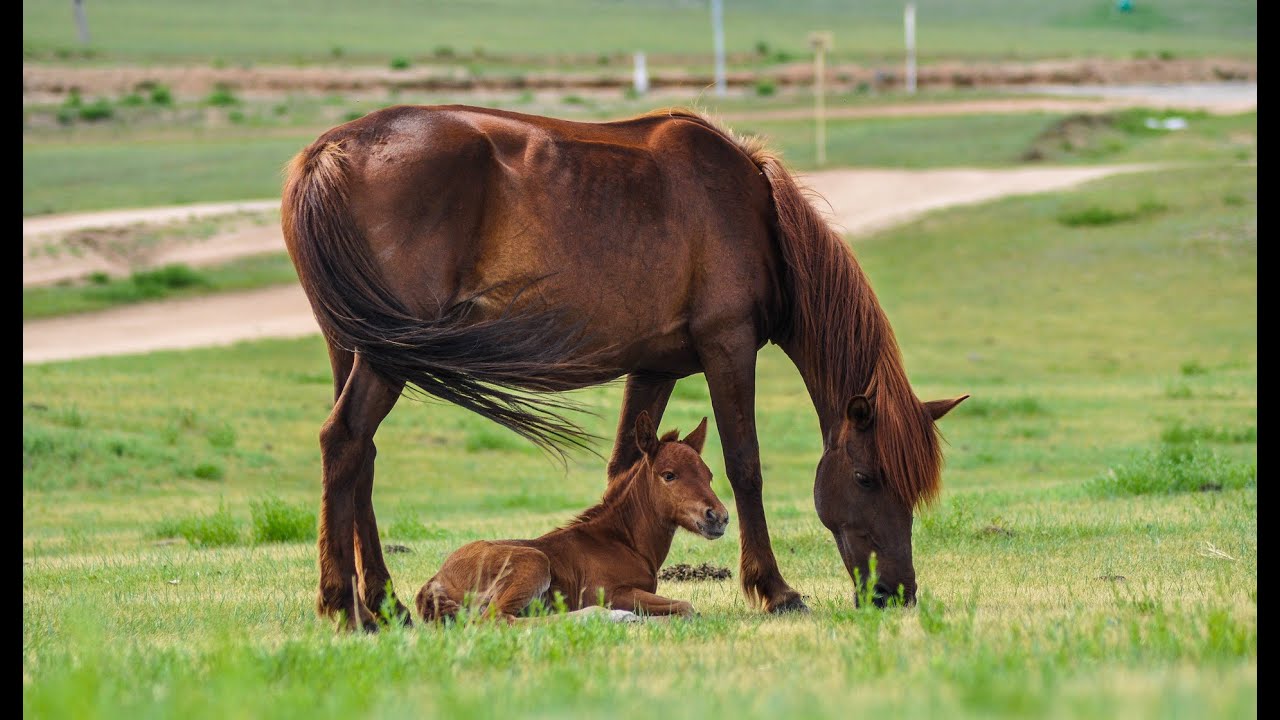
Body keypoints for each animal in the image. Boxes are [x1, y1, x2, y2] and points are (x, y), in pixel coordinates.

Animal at [416, 411, 726, 623]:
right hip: (534, 562)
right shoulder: (612, 592)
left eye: (709, 475)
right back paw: (609, 616)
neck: (623, 542)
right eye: (669, 475)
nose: (719, 517)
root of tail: (436, 580)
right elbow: (686, 607)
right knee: (498, 619)